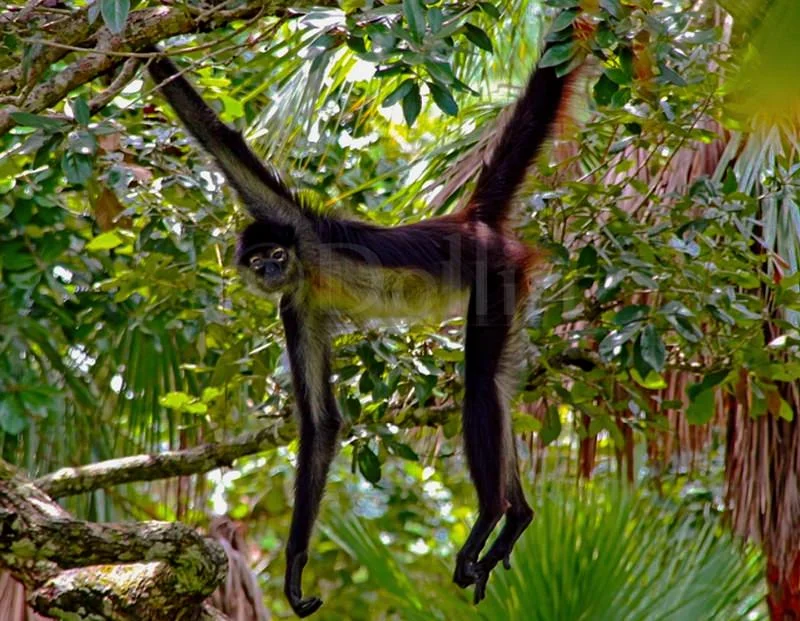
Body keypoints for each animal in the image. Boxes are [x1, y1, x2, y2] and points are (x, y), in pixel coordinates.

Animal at [144, 23, 580, 618]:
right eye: (258, 263)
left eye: (275, 255)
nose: (270, 269)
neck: (305, 269)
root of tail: (470, 223)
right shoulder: (295, 307)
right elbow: (321, 423)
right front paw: (295, 568)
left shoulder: (296, 225)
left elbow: (218, 139)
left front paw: (143, 50)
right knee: (500, 387)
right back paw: (517, 518)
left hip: (494, 274)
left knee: (480, 384)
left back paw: (492, 514)